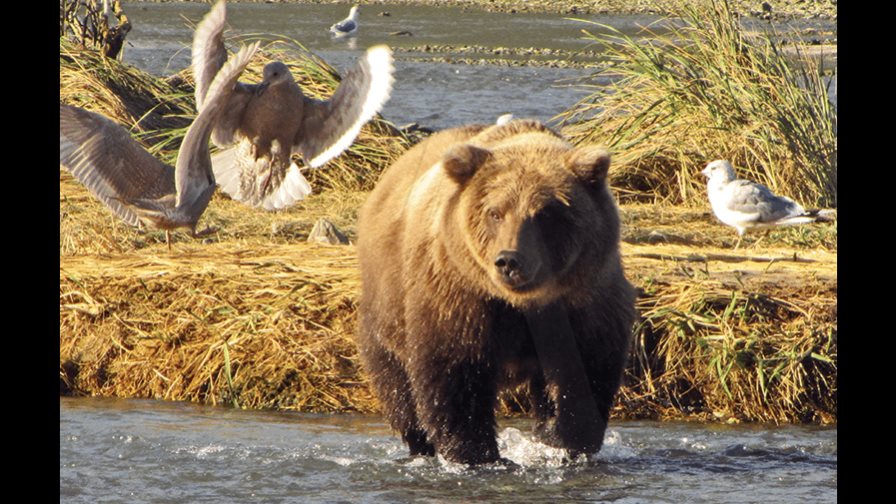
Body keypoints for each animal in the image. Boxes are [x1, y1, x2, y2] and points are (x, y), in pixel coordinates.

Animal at [356, 119, 636, 465]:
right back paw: (419, 441)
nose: (508, 260)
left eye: (545, 213)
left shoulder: (584, 299)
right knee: (398, 386)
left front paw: (563, 441)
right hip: (388, 309)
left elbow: (584, 370)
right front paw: (476, 453)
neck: (523, 303)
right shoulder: (462, 297)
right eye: (495, 212)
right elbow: (456, 375)